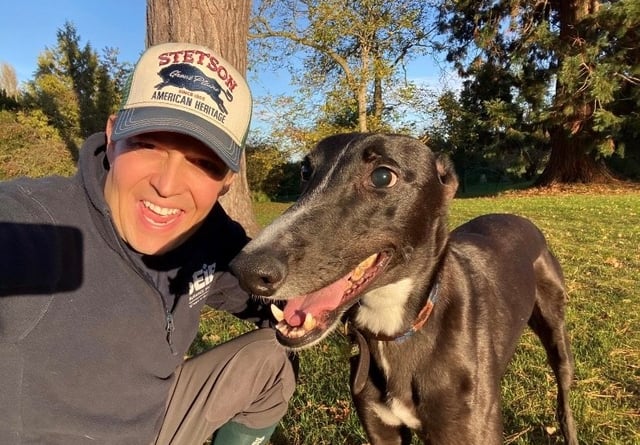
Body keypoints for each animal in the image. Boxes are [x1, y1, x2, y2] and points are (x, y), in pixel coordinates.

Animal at [231, 133, 580, 444]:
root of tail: (520, 218)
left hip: (556, 331)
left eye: (383, 176)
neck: (394, 328)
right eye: (305, 171)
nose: (246, 271)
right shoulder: (383, 430)